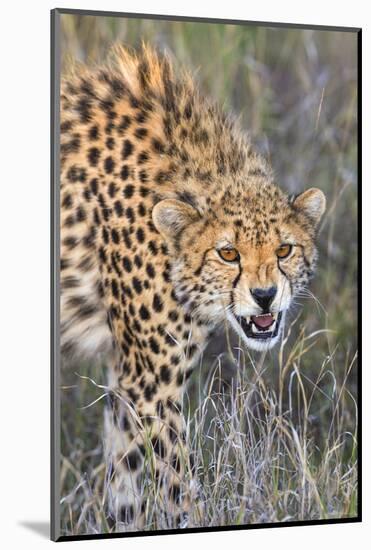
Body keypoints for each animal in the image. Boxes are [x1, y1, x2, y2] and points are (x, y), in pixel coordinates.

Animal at [60, 45, 326, 532]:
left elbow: (125, 473)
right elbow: (176, 481)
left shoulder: (128, 374)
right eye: (228, 253)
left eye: (283, 249)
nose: (265, 296)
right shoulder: (151, 382)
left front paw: (122, 523)